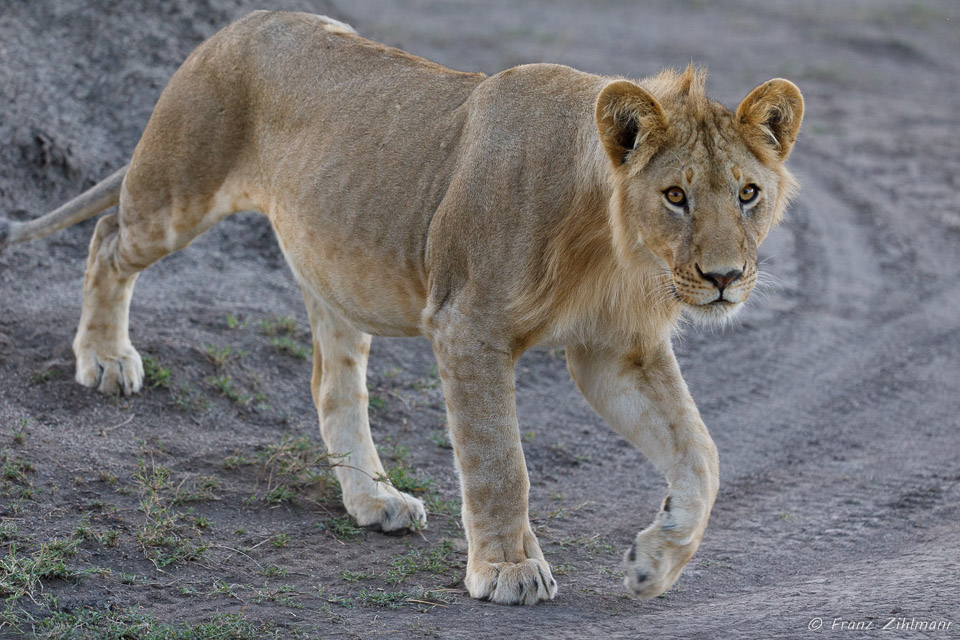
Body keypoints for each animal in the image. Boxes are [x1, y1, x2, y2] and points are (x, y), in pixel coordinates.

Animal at [0, 12, 804, 608]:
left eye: (747, 193)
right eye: (675, 196)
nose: (725, 278)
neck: (611, 251)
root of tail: (243, 21)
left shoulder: (615, 351)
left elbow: (701, 454)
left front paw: (653, 563)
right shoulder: (468, 327)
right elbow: (500, 462)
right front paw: (508, 571)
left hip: (333, 271)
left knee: (333, 386)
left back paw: (374, 499)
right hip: (174, 190)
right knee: (107, 238)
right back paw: (104, 358)